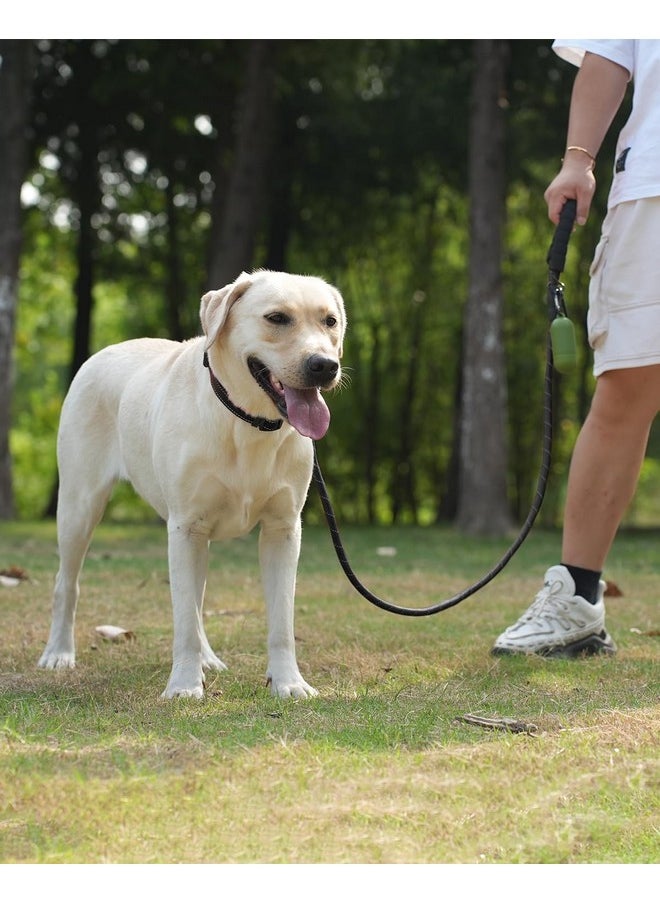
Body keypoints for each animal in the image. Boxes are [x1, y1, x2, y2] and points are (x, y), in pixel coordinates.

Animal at [37, 268, 346, 700]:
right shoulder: (185, 526)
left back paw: (209, 659)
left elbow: (281, 619)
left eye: (330, 321)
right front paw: (184, 684)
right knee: (67, 582)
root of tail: (103, 352)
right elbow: (183, 619)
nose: (324, 365)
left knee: (197, 602)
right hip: (79, 505)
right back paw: (59, 653)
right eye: (277, 318)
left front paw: (289, 682)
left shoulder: (283, 529)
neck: (247, 423)